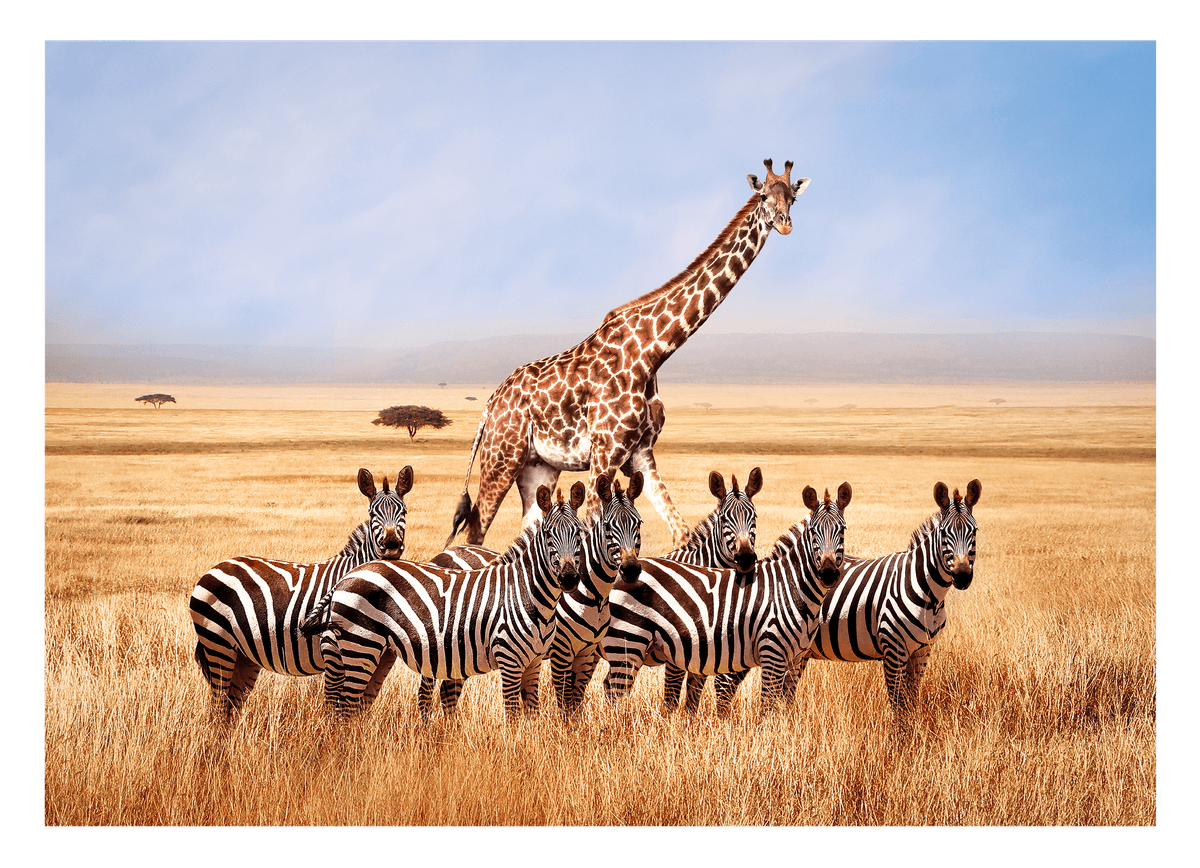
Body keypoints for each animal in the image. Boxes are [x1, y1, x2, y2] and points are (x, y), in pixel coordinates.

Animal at [188, 467, 413, 719]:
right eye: (373, 513)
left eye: (404, 511)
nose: (392, 545)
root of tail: (215, 568)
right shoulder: (332, 649)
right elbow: (335, 706)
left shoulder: (383, 658)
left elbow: (361, 708)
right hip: (218, 643)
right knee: (218, 705)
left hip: (243, 654)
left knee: (229, 707)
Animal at [302, 483, 587, 719]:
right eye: (548, 535)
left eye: (579, 534)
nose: (569, 578)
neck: (528, 593)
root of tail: (348, 575)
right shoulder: (509, 660)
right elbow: (513, 716)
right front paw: (515, 747)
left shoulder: (534, 663)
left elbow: (531, 716)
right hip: (360, 645)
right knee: (346, 707)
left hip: (373, 649)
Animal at [418, 472, 645, 718]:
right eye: (608, 527)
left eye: (639, 523)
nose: (631, 570)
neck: (594, 597)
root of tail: (443, 554)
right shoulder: (561, 650)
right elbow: (564, 700)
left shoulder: (588, 651)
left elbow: (576, 701)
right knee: (427, 689)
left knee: (448, 689)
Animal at [446, 159, 810, 548]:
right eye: (763, 195)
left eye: (792, 198)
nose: (785, 224)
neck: (653, 351)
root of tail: (490, 404)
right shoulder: (605, 451)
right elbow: (591, 528)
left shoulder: (640, 453)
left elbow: (681, 531)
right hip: (502, 457)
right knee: (476, 530)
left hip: (539, 465)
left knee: (526, 530)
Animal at [601, 482, 851, 715]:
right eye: (813, 532)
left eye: (842, 530)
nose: (829, 573)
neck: (791, 587)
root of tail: (621, 572)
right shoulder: (771, 652)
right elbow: (767, 707)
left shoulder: (795, 658)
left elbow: (785, 704)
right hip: (628, 642)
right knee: (615, 692)